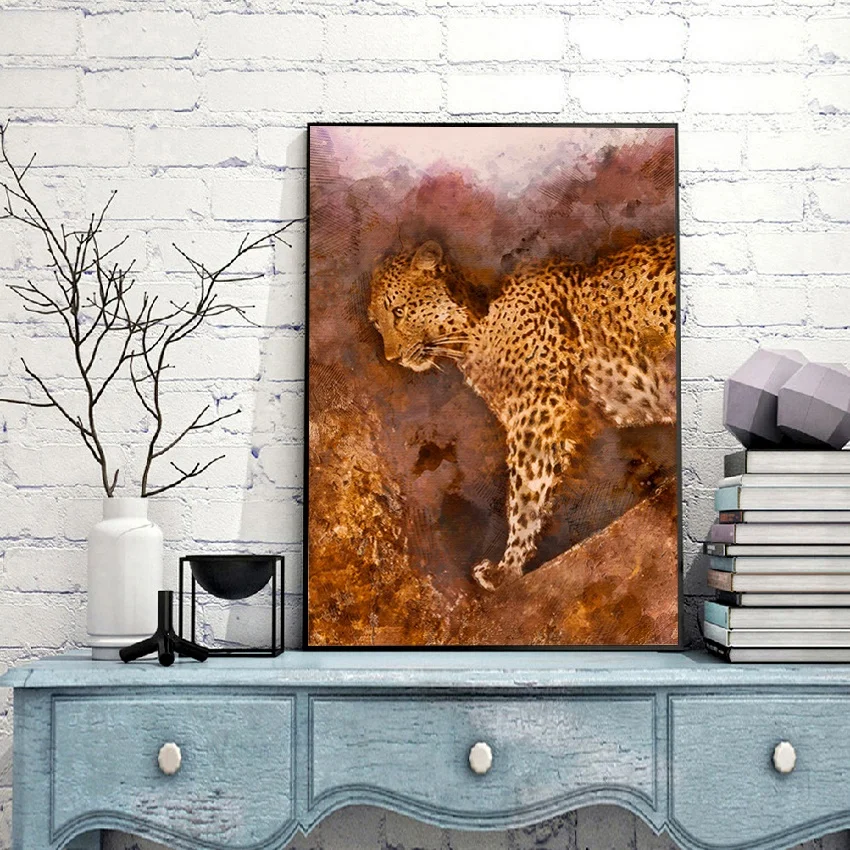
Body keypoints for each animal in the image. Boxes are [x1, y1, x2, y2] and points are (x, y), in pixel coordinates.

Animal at [367, 235, 677, 591]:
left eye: (398, 311)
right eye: (376, 323)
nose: (392, 357)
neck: (470, 332)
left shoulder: (537, 410)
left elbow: (527, 490)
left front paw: (507, 568)